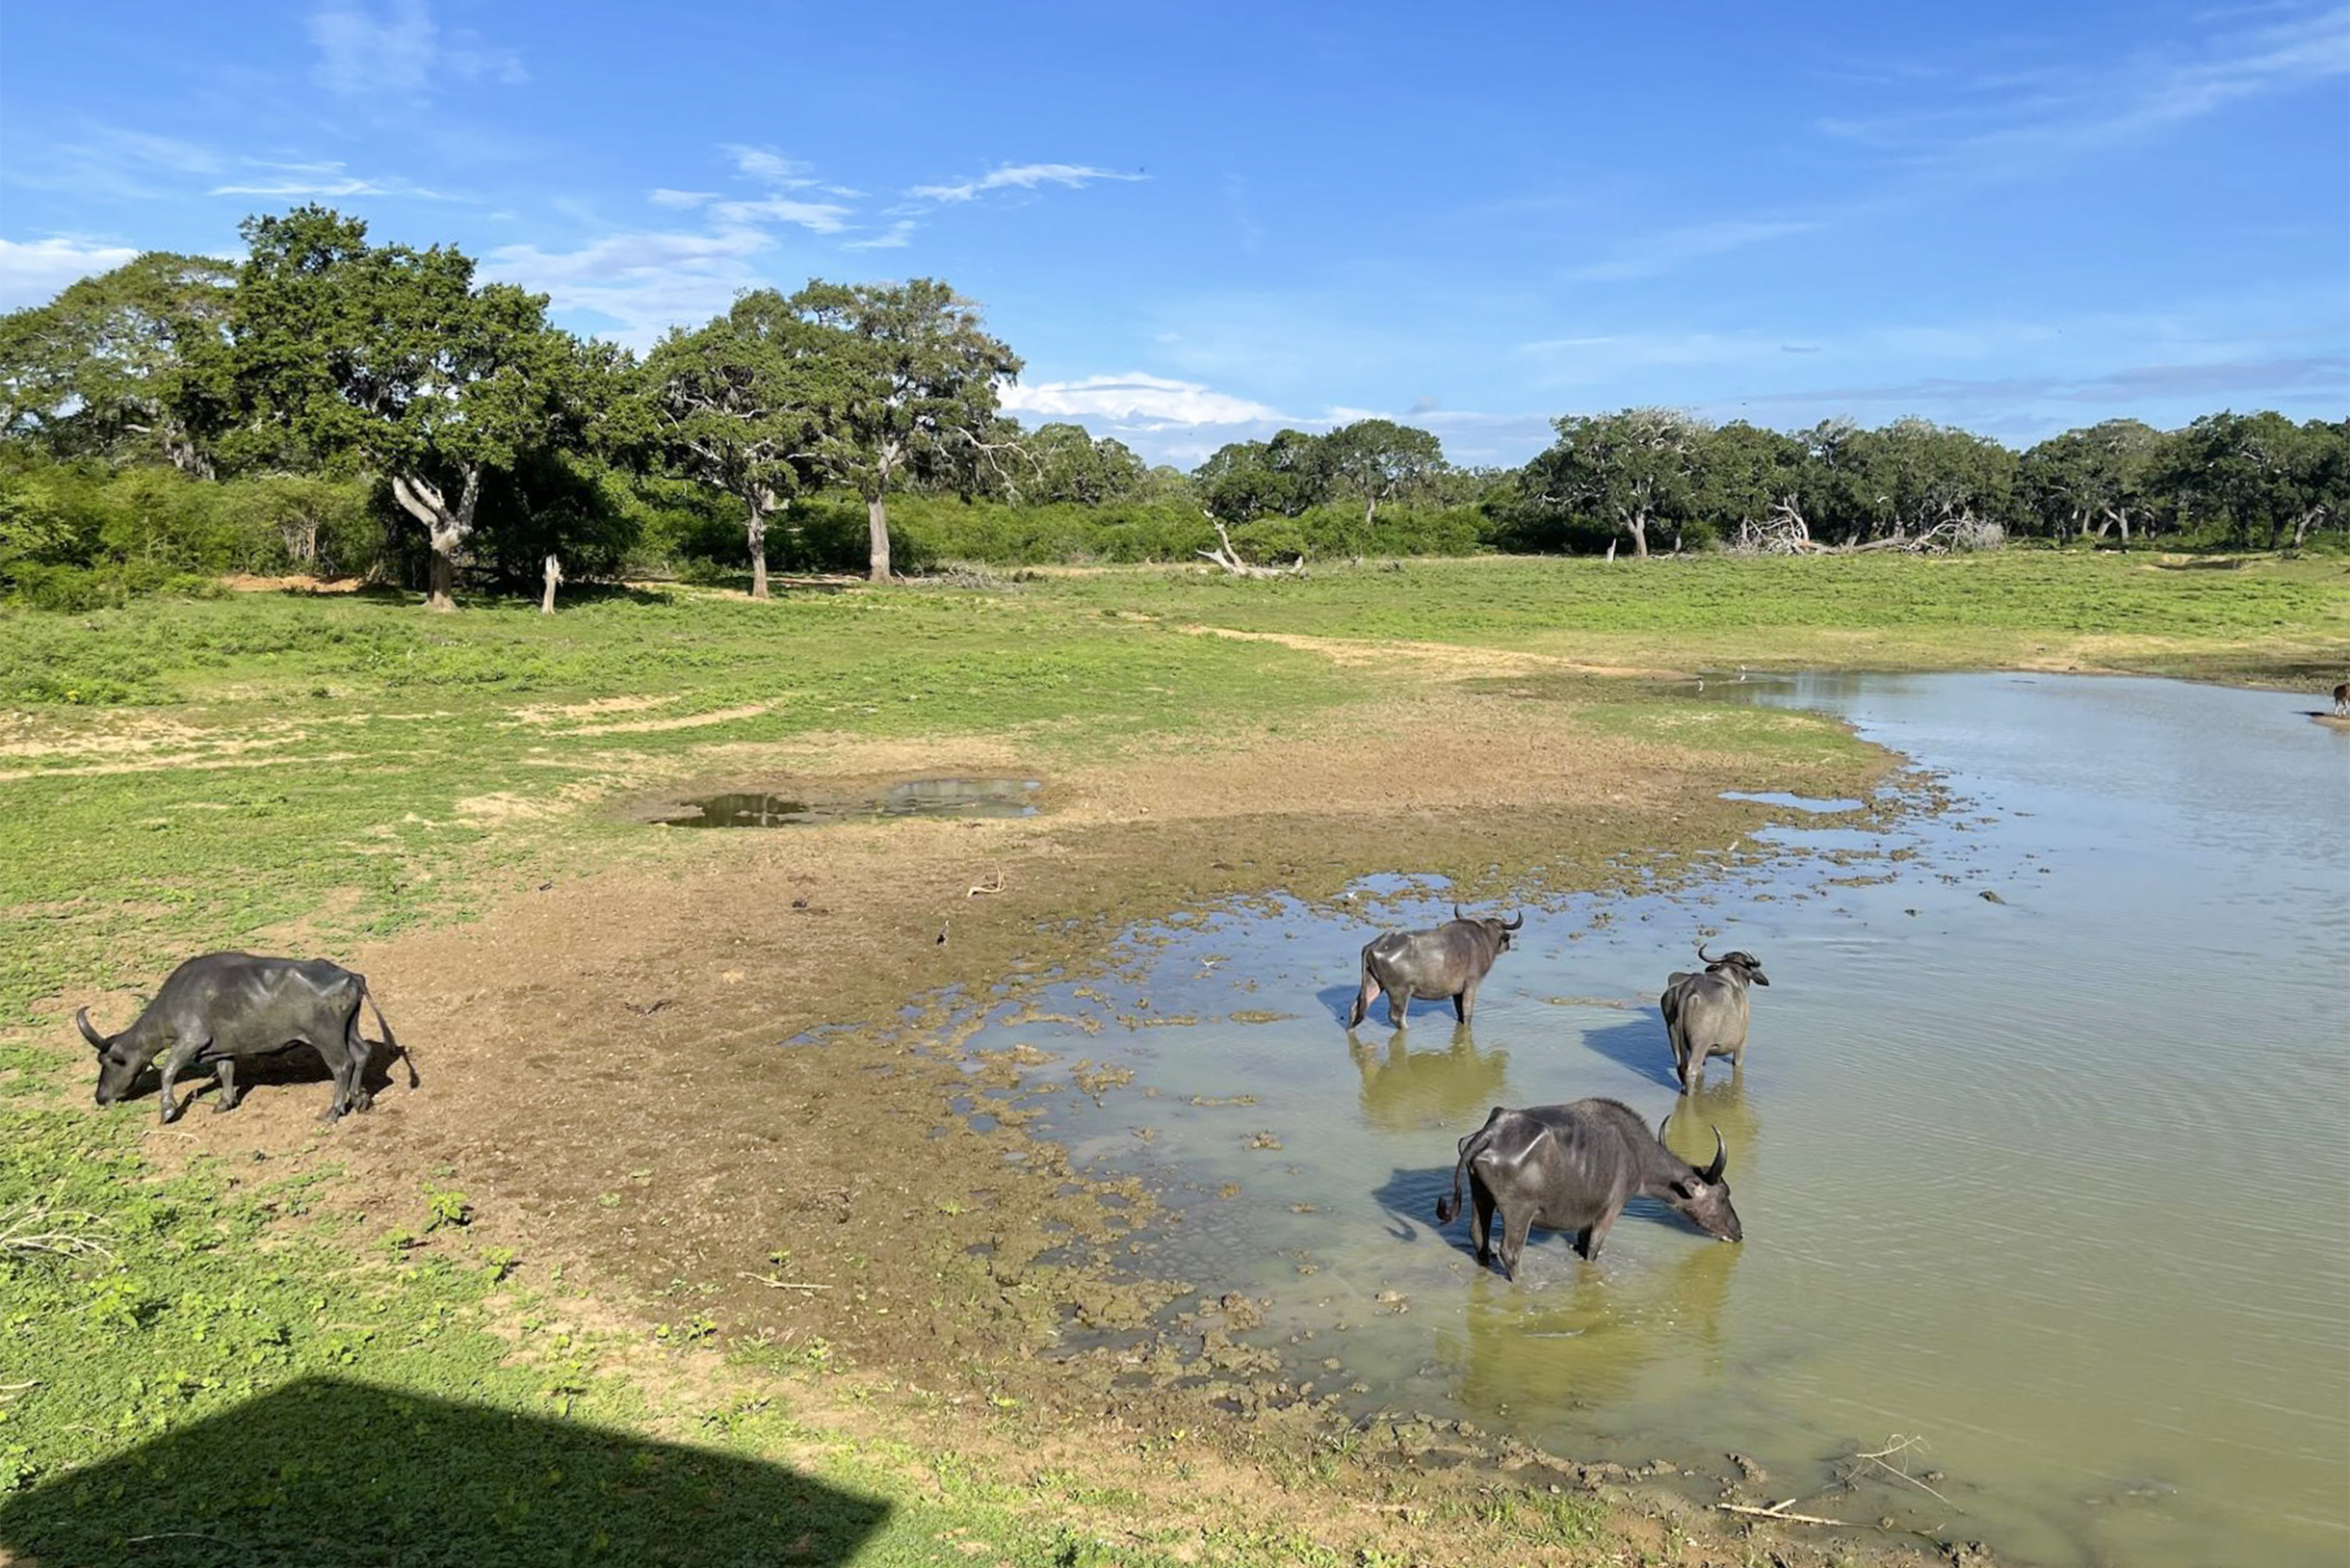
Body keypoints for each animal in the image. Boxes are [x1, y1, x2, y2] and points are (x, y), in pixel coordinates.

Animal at [79, 950, 413, 1123]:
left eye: (109, 1062)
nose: (100, 1097)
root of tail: (350, 977)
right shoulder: (222, 1047)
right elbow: (226, 1069)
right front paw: (224, 1102)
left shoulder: (190, 1041)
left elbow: (169, 1071)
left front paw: (168, 1110)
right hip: (349, 1029)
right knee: (361, 1053)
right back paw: (359, 1098)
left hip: (326, 1038)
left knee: (342, 1065)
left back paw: (333, 1111)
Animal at [1344, 907, 1523, 1030]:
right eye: (1505, 937)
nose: (1508, 945)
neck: (1484, 938)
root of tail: (1374, 946)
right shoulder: (1471, 984)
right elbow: (1467, 1012)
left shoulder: (1457, 990)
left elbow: (1459, 1012)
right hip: (1399, 992)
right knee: (1396, 1017)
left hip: (1373, 982)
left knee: (1356, 1008)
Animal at [1419, 1100, 1738, 1278]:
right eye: (1724, 1195)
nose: (1738, 1232)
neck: (1636, 1155)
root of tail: (1491, 1131)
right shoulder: (1610, 1210)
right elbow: (1593, 1248)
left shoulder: (1587, 1215)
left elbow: (1581, 1244)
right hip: (1519, 1211)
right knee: (1510, 1252)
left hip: (1480, 1196)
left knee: (1478, 1237)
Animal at [1654, 945, 1766, 1090]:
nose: (1764, 979)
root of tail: (1688, 989)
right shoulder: (1742, 1040)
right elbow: (1737, 1063)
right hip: (1700, 1042)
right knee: (1691, 1070)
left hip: (1673, 1033)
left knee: (1681, 1066)